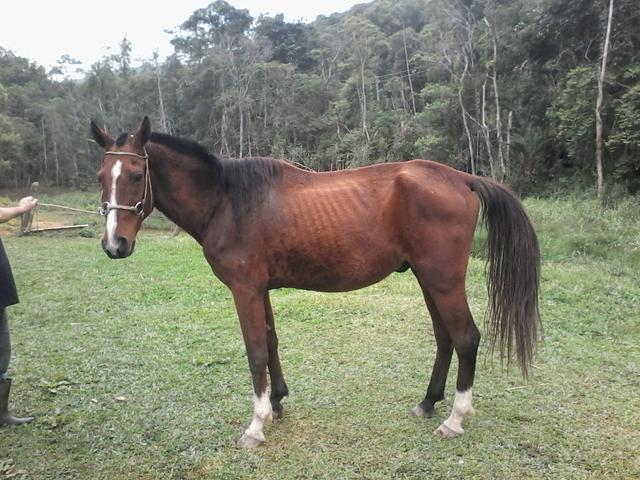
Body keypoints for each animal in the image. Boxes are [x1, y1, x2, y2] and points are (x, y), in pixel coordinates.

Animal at [91, 117, 540, 448]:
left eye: (136, 174)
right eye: (100, 175)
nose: (115, 244)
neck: (228, 201)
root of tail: (460, 178)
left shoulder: (245, 290)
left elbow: (255, 351)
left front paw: (256, 425)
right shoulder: (261, 290)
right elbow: (271, 342)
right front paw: (277, 402)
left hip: (443, 280)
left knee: (466, 338)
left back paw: (454, 419)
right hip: (428, 279)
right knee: (445, 337)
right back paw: (428, 402)